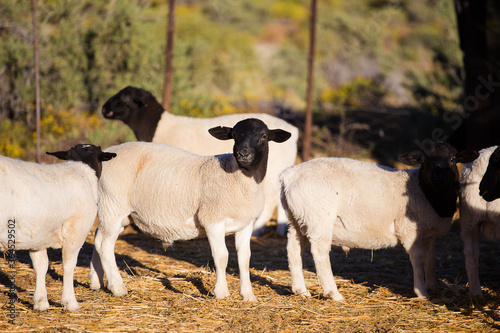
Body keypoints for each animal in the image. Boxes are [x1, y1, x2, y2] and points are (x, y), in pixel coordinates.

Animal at [0, 144, 116, 310]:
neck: (82, 169)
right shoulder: (76, 231)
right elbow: (68, 265)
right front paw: (70, 302)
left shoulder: (39, 234)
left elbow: (40, 265)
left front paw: (41, 302)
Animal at [280, 143, 478, 300]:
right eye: (425, 161)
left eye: (452, 158)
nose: (438, 178)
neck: (426, 192)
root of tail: (289, 174)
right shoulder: (409, 230)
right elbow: (418, 259)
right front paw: (422, 293)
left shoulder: (429, 235)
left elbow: (431, 260)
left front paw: (432, 287)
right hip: (319, 219)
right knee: (320, 252)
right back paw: (334, 293)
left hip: (297, 219)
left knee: (293, 250)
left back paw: (301, 290)